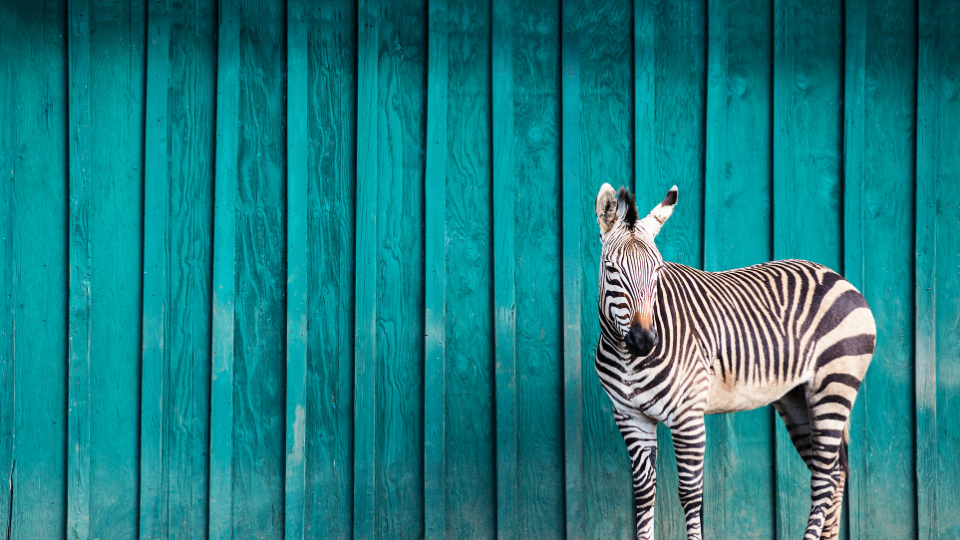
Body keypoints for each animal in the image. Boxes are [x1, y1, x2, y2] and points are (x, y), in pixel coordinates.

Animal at [593, 183, 876, 540]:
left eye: (657, 270)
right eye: (612, 269)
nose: (644, 341)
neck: (628, 358)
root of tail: (838, 277)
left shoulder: (688, 415)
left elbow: (690, 494)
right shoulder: (630, 417)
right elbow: (644, 492)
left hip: (834, 385)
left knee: (825, 478)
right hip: (797, 397)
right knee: (835, 473)